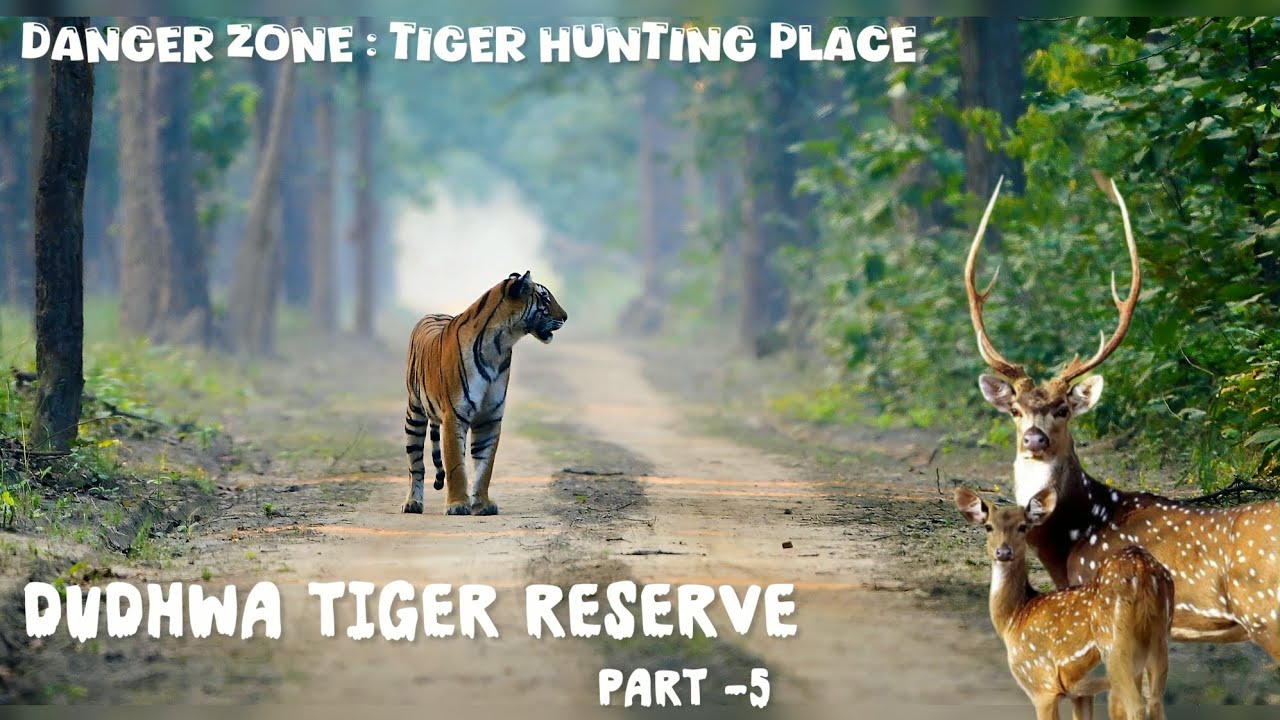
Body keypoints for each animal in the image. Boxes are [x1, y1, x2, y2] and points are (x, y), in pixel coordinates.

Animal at [402, 270, 568, 516]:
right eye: (545, 299)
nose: (566, 316)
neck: (500, 345)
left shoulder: (490, 417)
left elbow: (485, 465)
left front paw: (482, 504)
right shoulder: (455, 415)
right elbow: (456, 465)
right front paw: (457, 504)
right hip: (414, 413)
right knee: (416, 465)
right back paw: (413, 502)